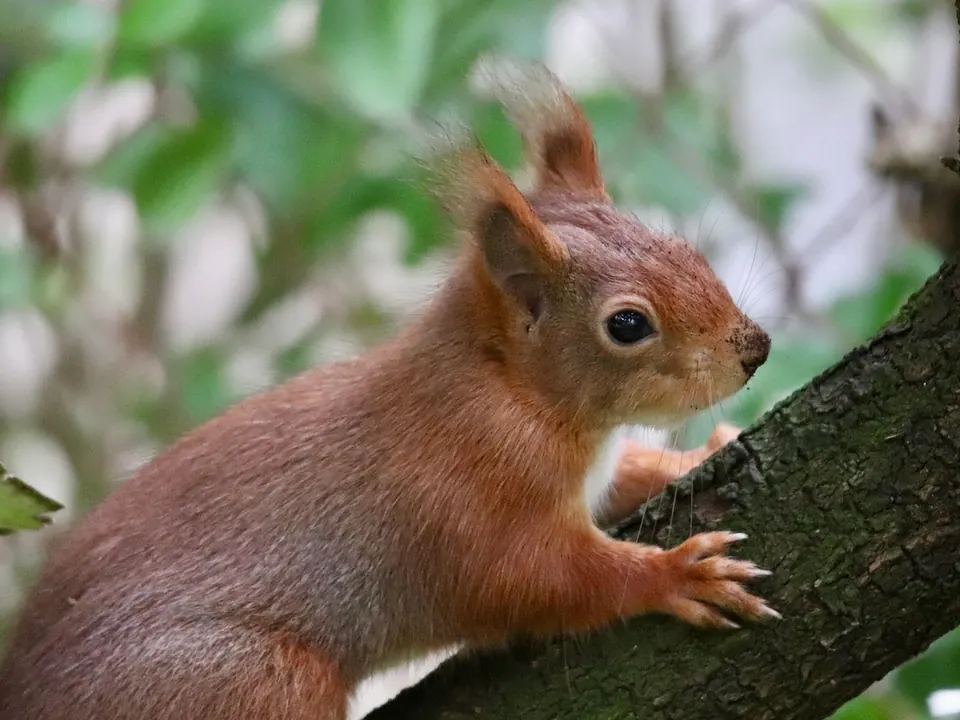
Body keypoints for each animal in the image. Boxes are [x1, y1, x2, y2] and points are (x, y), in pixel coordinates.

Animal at [0, 60, 775, 720]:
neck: (511, 389)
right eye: (627, 324)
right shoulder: (467, 502)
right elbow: (538, 579)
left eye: (683, 247)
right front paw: (674, 574)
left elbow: (628, 476)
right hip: (249, 681)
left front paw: (695, 453)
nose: (756, 350)